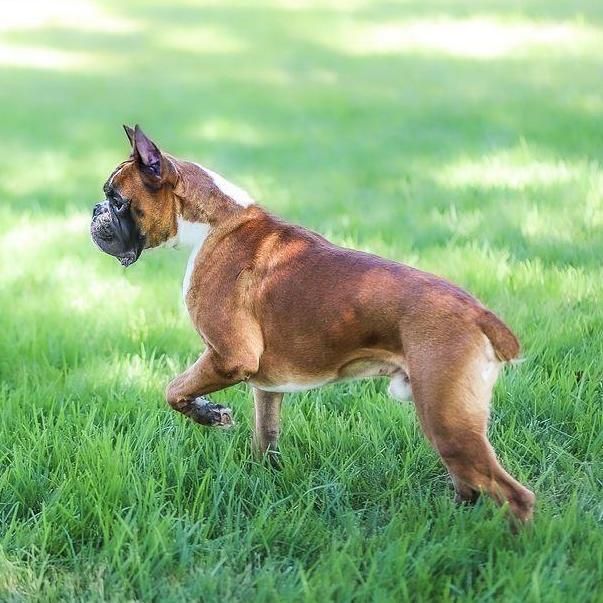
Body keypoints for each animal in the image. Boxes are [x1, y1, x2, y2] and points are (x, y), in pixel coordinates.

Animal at [88, 125, 532, 520]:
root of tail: (477, 312)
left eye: (117, 200)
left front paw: (208, 415)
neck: (215, 224)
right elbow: (265, 438)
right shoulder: (265, 387)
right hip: (446, 420)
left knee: (514, 496)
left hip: (447, 419)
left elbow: (174, 390)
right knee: (469, 484)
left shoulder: (229, 358)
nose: (94, 210)